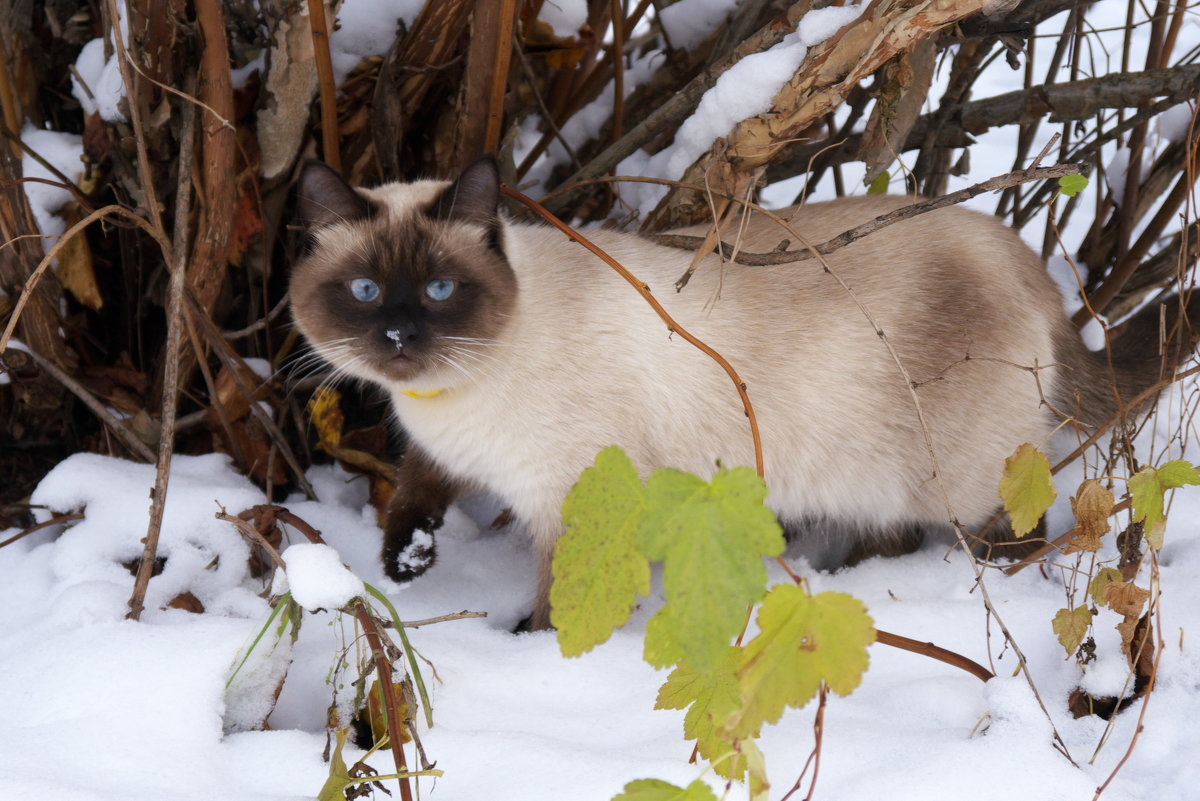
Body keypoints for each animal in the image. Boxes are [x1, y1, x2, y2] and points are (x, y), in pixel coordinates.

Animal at [292, 158, 1200, 633]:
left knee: (1015, 536)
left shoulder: (573, 498)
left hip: (964, 484)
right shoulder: (443, 457)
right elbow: (415, 494)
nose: (399, 338)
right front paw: (406, 564)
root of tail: (1027, 264)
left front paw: (529, 640)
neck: (449, 398)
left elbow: (569, 596)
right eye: (365, 291)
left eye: (440, 289)